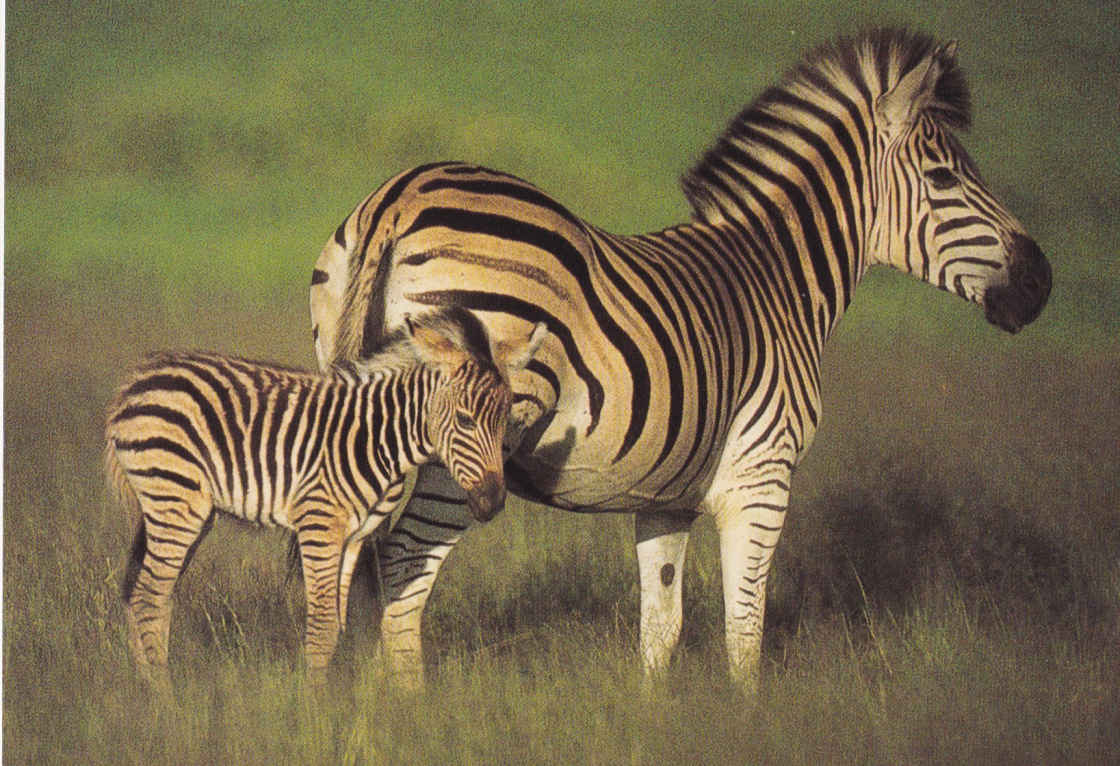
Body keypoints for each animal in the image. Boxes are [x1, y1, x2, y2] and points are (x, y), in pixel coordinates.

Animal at [105, 307, 548, 692]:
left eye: (507, 420)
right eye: (465, 421)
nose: (492, 503)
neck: (379, 440)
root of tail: (136, 380)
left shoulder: (354, 537)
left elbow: (338, 626)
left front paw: (336, 702)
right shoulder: (318, 525)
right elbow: (320, 629)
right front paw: (316, 713)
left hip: (187, 509)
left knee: (145, 595)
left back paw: (146, 690)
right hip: (175, 501)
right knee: (147, 599)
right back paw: (165, 702)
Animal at [309, 28, 1051, 692]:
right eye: (944, 177)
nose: (1041, 282)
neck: (777, 276)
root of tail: (401, 195)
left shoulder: (665, 500)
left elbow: (660, 629)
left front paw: (656, 725)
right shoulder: (762, 476)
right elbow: (743, 630)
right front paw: (747, 725)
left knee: (350, 562)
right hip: (463, 437)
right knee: (402, 564)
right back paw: (413, 708)